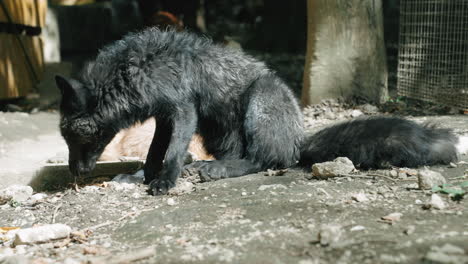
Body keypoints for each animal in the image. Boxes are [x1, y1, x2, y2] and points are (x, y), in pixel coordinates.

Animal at [54, 27, 460, 195]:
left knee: (267, 160)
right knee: (249, 155)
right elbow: (156, 152)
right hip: (216, 130)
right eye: (65, 137)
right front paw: (144, 176)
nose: (74, 173)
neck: (135, 68)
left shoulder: (182, 109)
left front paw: (165, 181)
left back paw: (216, 170)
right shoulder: (164, 116)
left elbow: (170, 154)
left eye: (76, 135)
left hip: (259, 100)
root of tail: (299, 138)